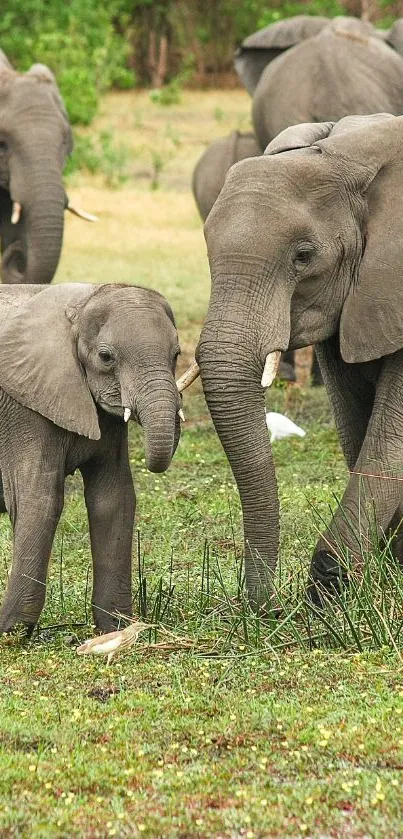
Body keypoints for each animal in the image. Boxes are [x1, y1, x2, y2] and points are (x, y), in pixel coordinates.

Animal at [0, 278, 182, 632]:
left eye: (177, 355)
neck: (81, 304)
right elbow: (39, 499)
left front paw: (117, 628)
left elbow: (114, 497)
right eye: (105, 357)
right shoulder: (23, 408)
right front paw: (13, 632)